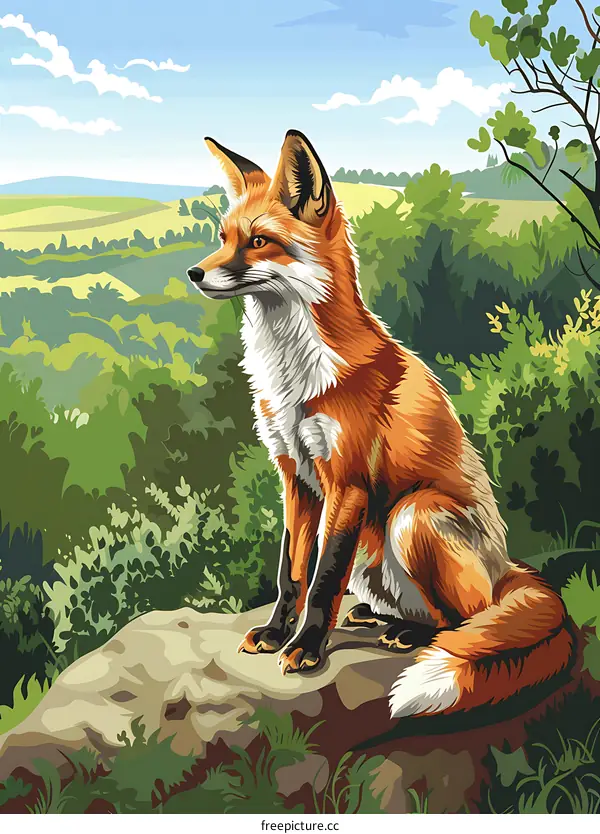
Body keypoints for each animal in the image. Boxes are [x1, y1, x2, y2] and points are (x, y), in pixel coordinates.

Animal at [187, 129, 574, 719]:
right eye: (225, 237)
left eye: (259, 242)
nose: (194, 273)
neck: (295, 376)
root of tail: (507, 567)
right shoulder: (294, 476)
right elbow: (291, 573)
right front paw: (276, 633)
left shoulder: (346, 482)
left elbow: (322, 580)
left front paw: (305, 648)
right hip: (375, 557)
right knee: (417, 609)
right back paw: (378, 618)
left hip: (413, 516)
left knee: (461, 620)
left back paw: (410, 636)